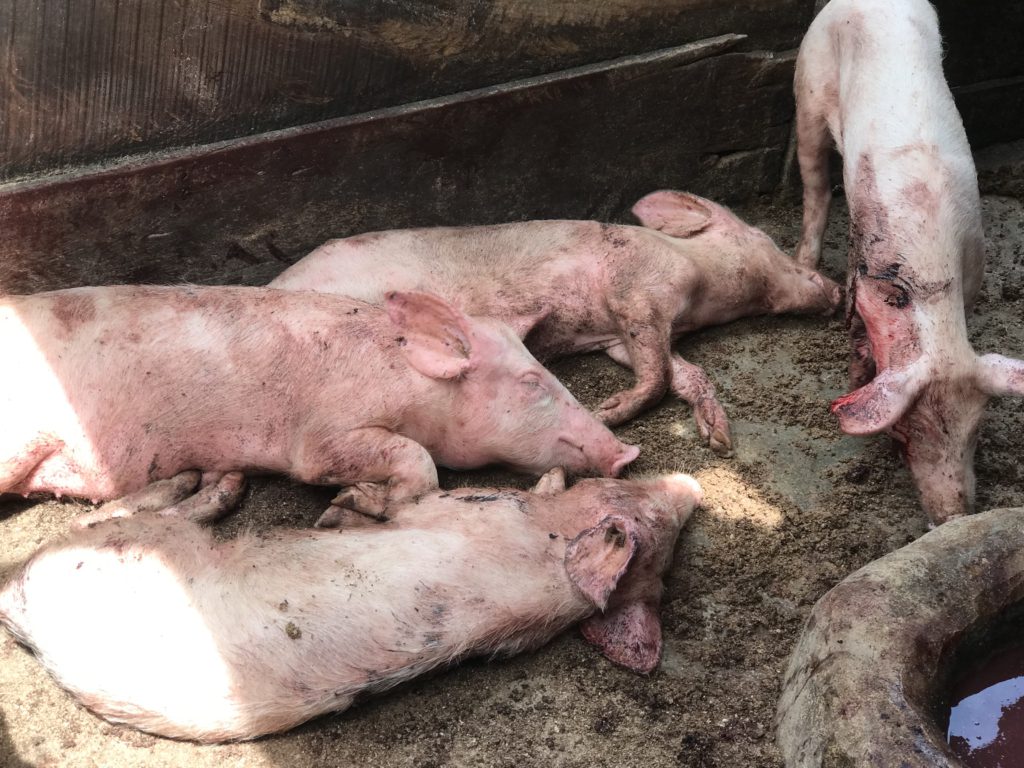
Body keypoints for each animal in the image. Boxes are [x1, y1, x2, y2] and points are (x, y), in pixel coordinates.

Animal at [0, 468, 701, 742]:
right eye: (654, 526)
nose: (691, 485)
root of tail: (25, 612)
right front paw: (339, 511)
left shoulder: (457, 508)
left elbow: (411, 498)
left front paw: (346, 504)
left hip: (129, 546)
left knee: (116, 516)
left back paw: (216, 482)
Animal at [269, 190, 842, 458]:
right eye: (767, 238)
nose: (837, 290)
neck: (699, 293)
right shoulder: (635, 290)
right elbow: (658, 375)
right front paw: (609, 411)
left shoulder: (620, 340)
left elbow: (684, 372)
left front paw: (718, 440)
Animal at [792, 0, 1024, 524]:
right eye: (907, 431)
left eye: (975, 434)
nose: (953, 515)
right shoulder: (865, 283)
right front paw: (855, 375)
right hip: (808, 81)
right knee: (815, 184)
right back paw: (804, 262)